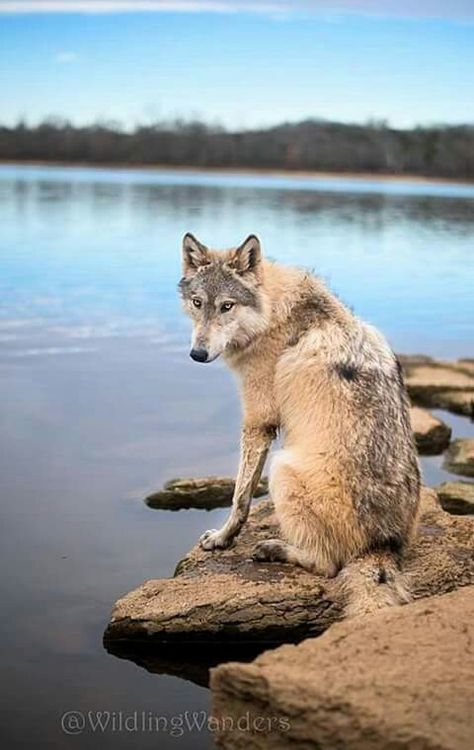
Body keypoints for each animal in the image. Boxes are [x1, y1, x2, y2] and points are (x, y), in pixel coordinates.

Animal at [178, 235, 418, 616]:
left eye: (227, 306)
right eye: (198, 303)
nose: (197, 354)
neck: (275, 313)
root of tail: (382, 546)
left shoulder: (258, 422)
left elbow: (239, 497)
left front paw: (223, 538)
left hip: (282, 468)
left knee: (328, 564)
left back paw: (274, 548)